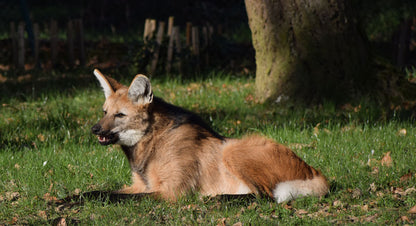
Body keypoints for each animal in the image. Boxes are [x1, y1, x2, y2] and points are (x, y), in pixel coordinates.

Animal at [91, 69, 328, 203]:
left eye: (120, 115)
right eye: (104, 112)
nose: (94, 129)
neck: (153, 142)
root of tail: (315, 172)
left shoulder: (172, 192)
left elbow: (116, 197)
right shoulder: (141, 186)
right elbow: (98, 192)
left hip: (233, 149)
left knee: (264, 196)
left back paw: (215, 199)